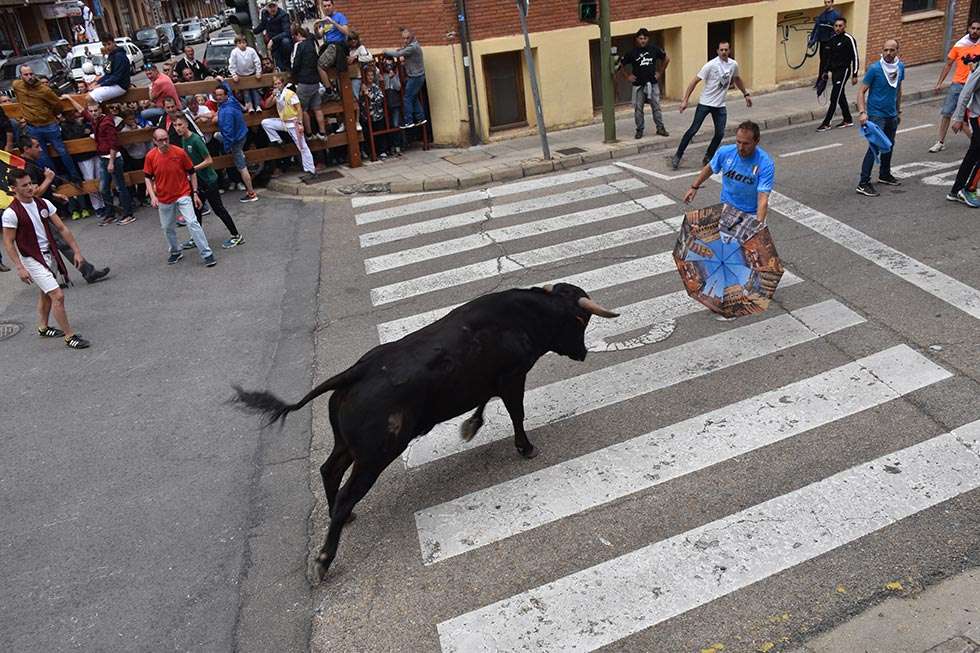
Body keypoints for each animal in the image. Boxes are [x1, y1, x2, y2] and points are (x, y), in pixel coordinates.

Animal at [233, 282, 616, 580]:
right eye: (581, 321)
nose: (583, 353)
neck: (526, 317)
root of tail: (357, 370)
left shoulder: (487, 383)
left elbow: (484, 404)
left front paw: (471, 426)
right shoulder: (512, 378)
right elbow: (516, 414)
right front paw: (525, 447)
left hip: (348, 445)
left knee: (330, 470)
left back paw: (341, 519)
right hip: (375, 456)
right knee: (344, 491)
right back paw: (324, 559)